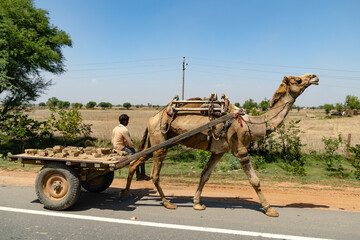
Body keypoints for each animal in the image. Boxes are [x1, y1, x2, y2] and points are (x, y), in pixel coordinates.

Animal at [119, 72, 320, 217]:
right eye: (298, 80)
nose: (315, 76)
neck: (251, 124)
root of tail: (152, 118)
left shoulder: (219, 151)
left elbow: (204, 175)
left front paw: (197, 203)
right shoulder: (240, 150)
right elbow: (254, 180)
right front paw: (269, 209)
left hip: (156, 143)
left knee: (134, 162)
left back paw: (125, 193)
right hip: (160, 142)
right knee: (154, 174)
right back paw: (167, 203)